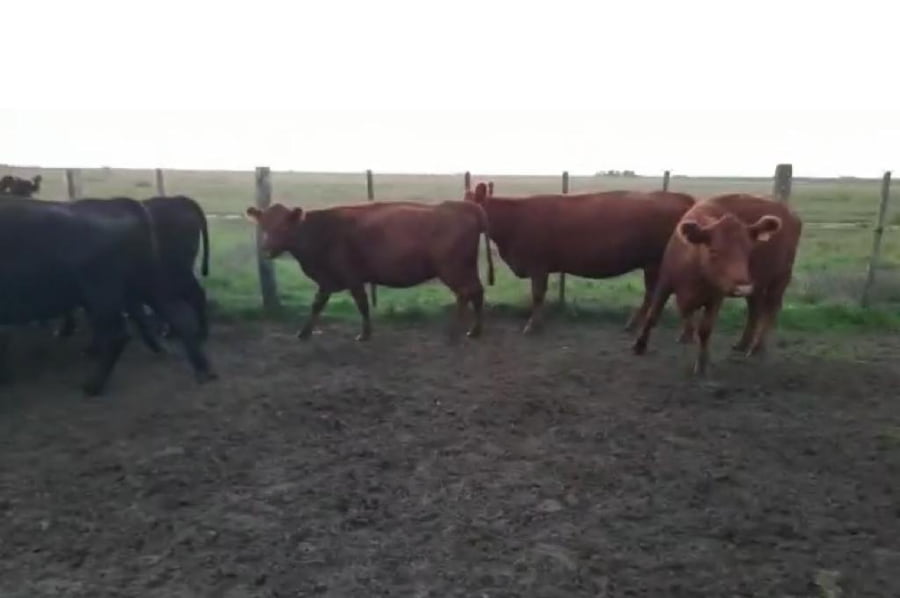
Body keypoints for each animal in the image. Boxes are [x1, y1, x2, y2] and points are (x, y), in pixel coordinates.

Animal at [244, 200, 494, 341]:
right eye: (263, 225)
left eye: (284, 226)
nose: (267, 249)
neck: (322, 230)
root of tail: (465, 206)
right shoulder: (327, 280)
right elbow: (317, 305)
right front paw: (304, 332)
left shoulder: (352, 277)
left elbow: (362, 304)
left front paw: (364, 334)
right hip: (465, 267)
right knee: (476, 291)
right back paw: (475, 330)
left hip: (452, 268)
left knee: (465, 292)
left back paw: (454, 331)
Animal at [464, 182, 696, 333]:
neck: (515, 219)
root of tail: (681, 198)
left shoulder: (538, 266)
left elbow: (537, 295)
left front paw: (532, 325)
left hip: (654, 263)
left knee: (652, 294)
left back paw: (636, 324)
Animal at [632, 193, 802, 375]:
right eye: (714, 251)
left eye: (748, 251)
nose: (742, 287)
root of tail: (791, 214)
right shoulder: (665, 283)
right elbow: (653, 315)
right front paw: (640, 345)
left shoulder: (715, 297)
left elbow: (705, 329)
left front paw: (701, 364)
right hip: (758, 286)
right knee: (755, 311)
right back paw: (742, 344)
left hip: (779, 280)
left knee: (770, 311)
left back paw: (756, 348)